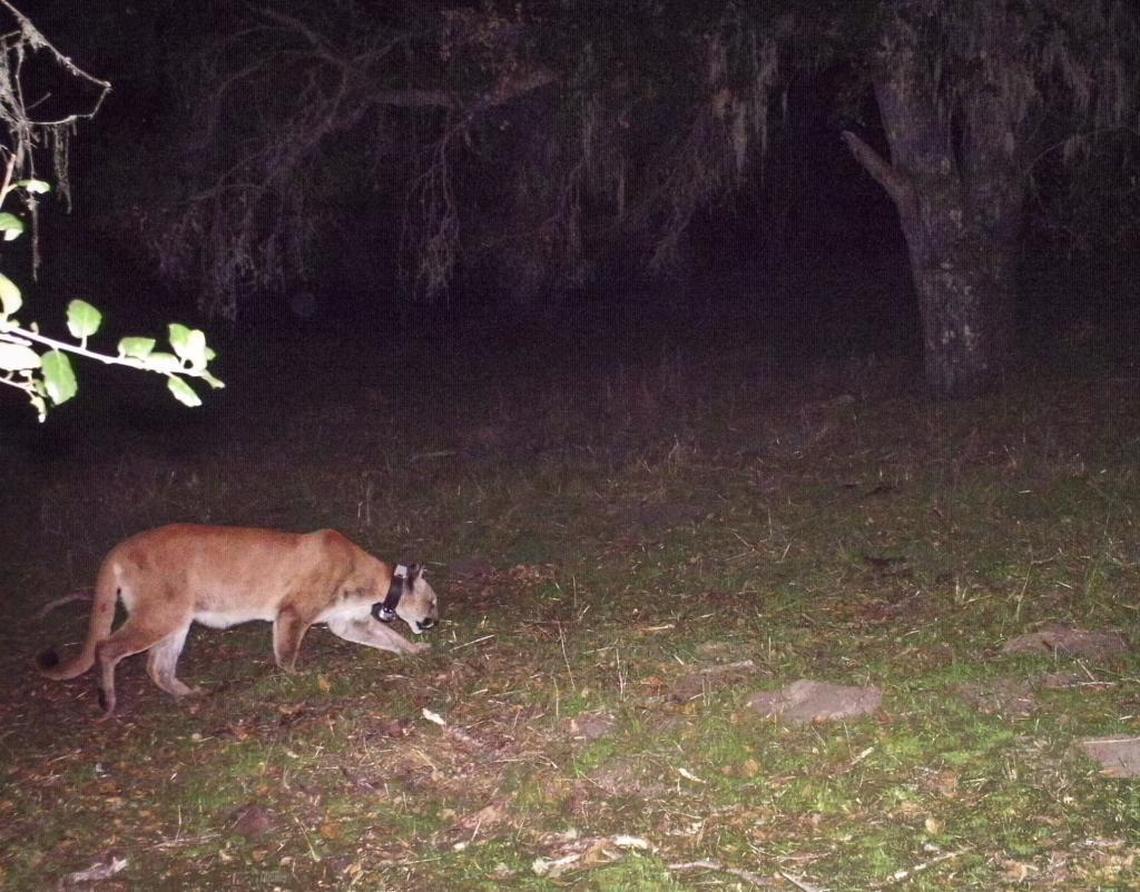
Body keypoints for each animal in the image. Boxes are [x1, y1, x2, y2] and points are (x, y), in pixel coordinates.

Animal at [37, 524, 439, 719]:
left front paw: (415, 650)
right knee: (107, 648)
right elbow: (287, 652)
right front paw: (297, 678)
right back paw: (107, 703)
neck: (375, 579)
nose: (435, 619)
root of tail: (118, 548)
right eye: (433, 601)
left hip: (177, 620)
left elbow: (388, 637)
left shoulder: (348, 621)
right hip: (160, 614)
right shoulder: (293, 613)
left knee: (157, 666)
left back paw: (192, 695)